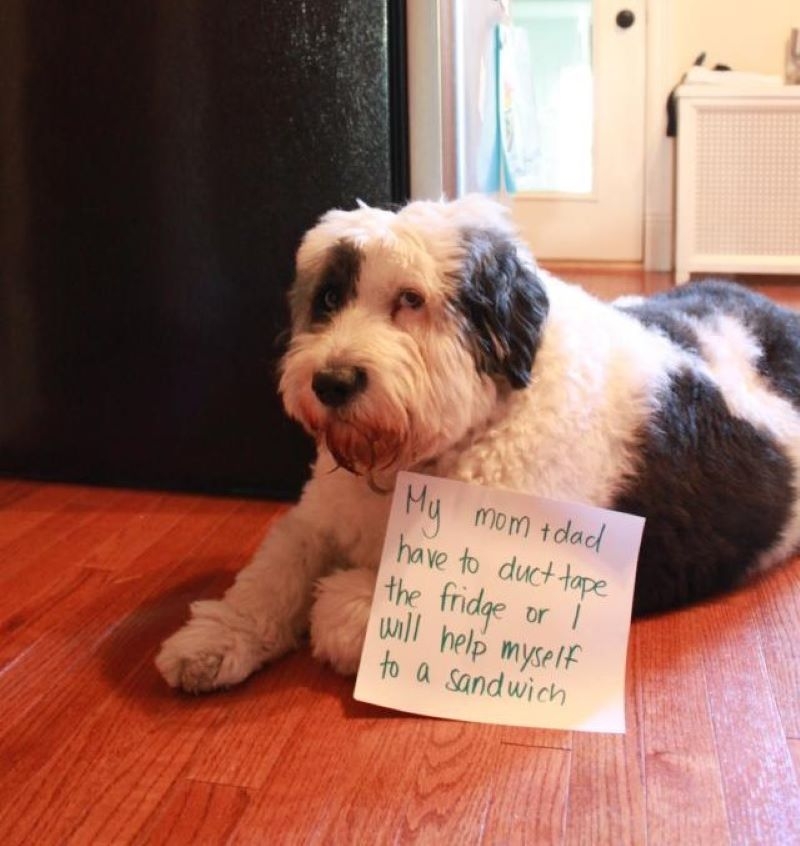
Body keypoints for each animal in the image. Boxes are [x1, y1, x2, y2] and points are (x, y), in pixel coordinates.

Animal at [155, 195, 800, 692]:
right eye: (330, 298)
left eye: (410, 299)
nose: (332, 382)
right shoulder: (319, 518)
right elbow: (272, 574)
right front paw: (214, 640)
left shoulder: (551, 571)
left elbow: (357, 602)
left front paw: (339, 607)